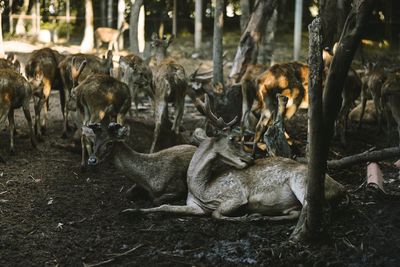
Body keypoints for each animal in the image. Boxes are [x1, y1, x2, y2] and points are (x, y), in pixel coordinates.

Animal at [123, 94, 346, 222]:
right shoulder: (196, 207)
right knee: (299, 211)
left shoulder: (236, 195)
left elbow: (216, 214)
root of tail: (341, 188)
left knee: (315, 208)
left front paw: (244, 216)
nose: (251, 158)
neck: (202, 189)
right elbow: (165, 206)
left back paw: (260, 216)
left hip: (301, 182)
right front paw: (130, 211)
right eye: (232, 139)